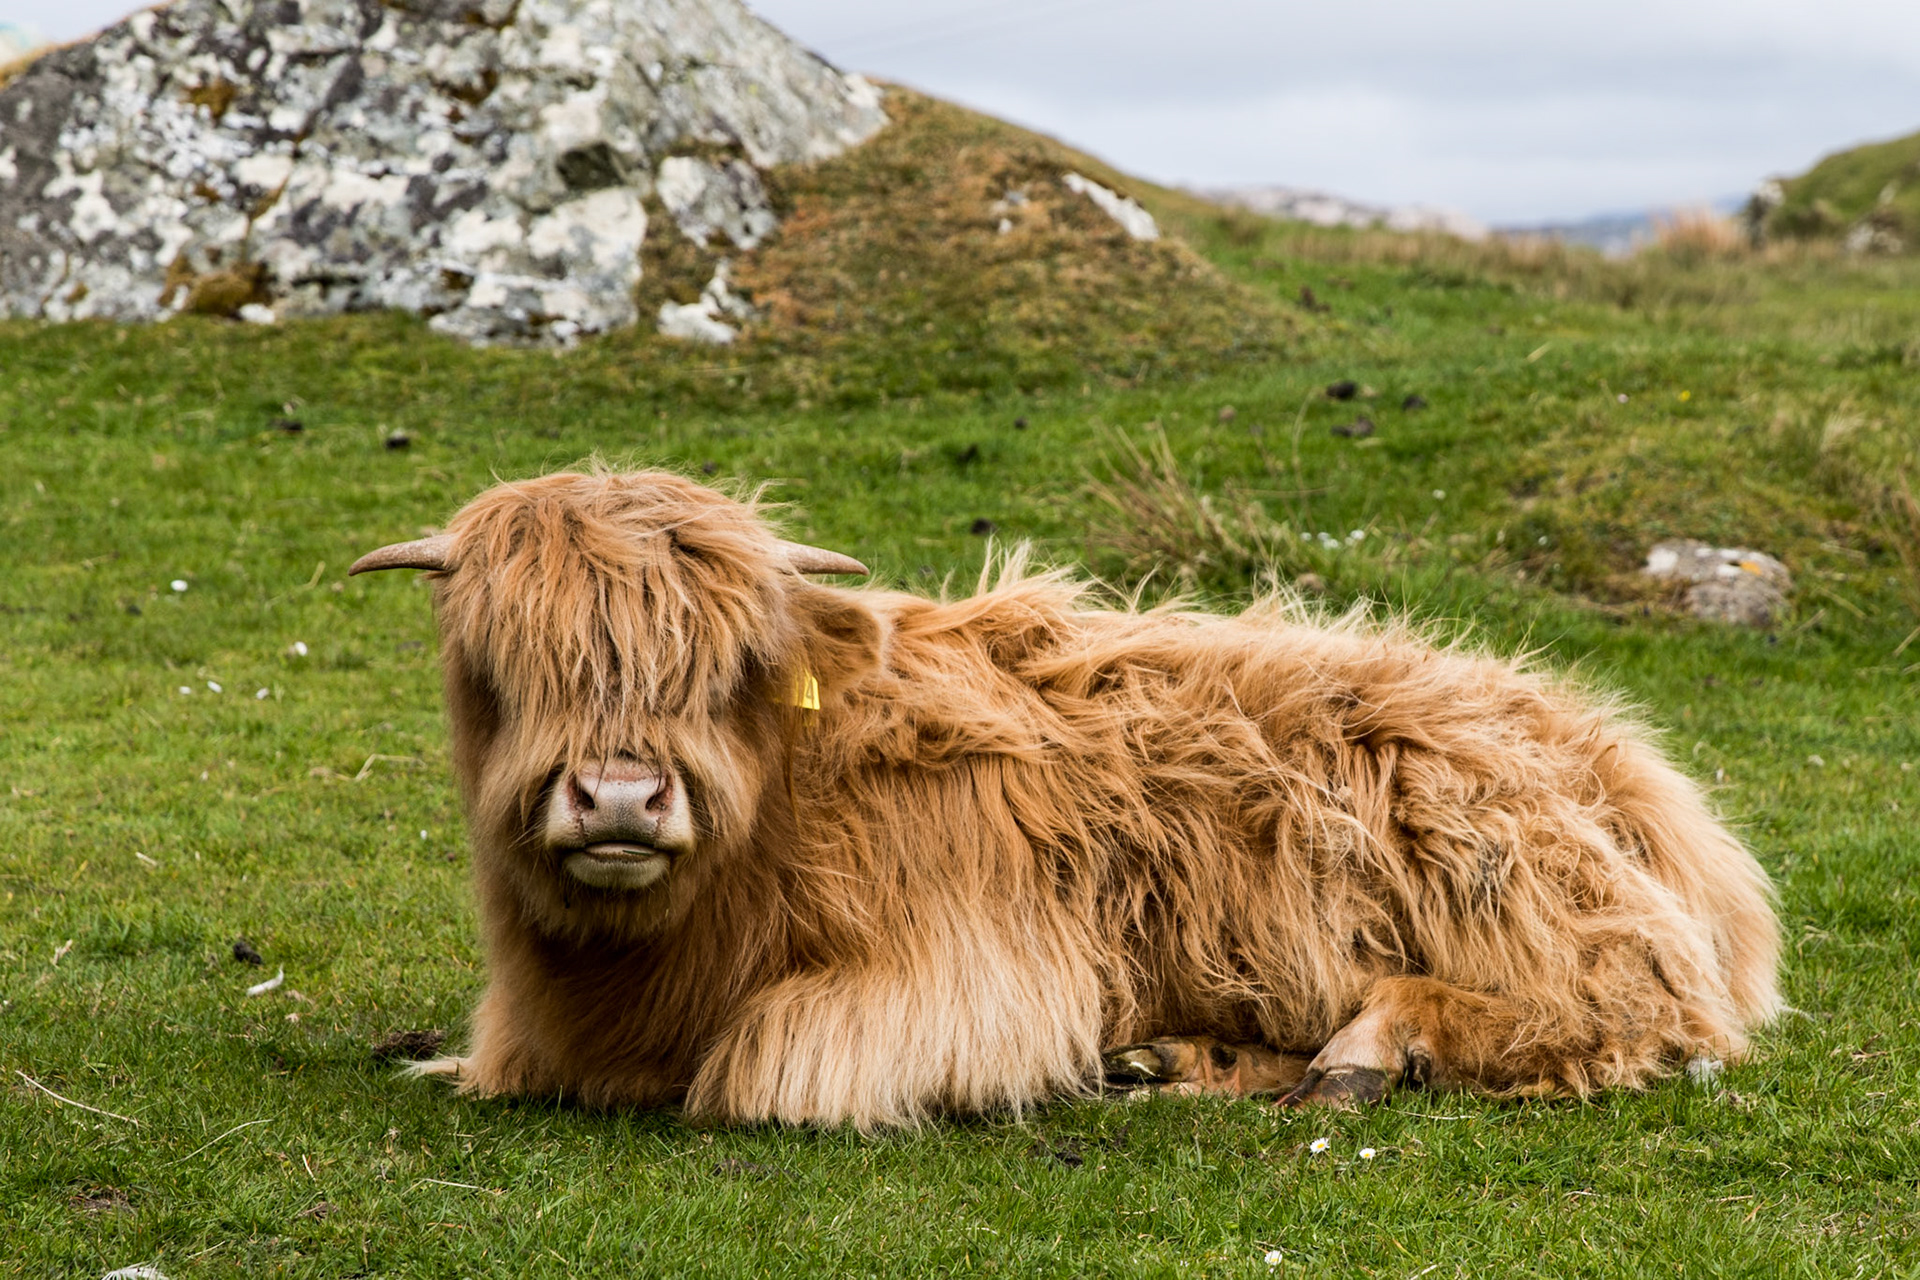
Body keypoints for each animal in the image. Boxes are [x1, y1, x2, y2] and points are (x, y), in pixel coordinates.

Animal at [350, 466, 1780, 1129]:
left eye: (735, 665)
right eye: (496, 663)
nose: (620, 797)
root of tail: (1623, 758)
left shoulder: (971, 978)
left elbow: (765, 1071)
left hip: (1525, 884)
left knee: (1639, 1016)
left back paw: (1369, 1048)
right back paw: (1181, 1058)